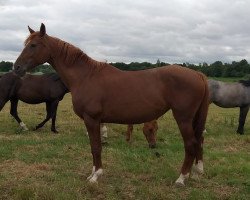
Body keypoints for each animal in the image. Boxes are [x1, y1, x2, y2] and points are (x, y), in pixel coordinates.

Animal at [13, 24, 209, 187]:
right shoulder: (96, 121)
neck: (86, 76)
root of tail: (198, 75)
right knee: (199, 140)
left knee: (191, 143)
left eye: (33, 45)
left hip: (183, 118)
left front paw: (95, 176)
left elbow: (96, 146)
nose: (16, 68)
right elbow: (95, 146)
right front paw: (93, 173)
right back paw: (197, 173)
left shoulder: (91, 119)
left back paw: (181, 179)